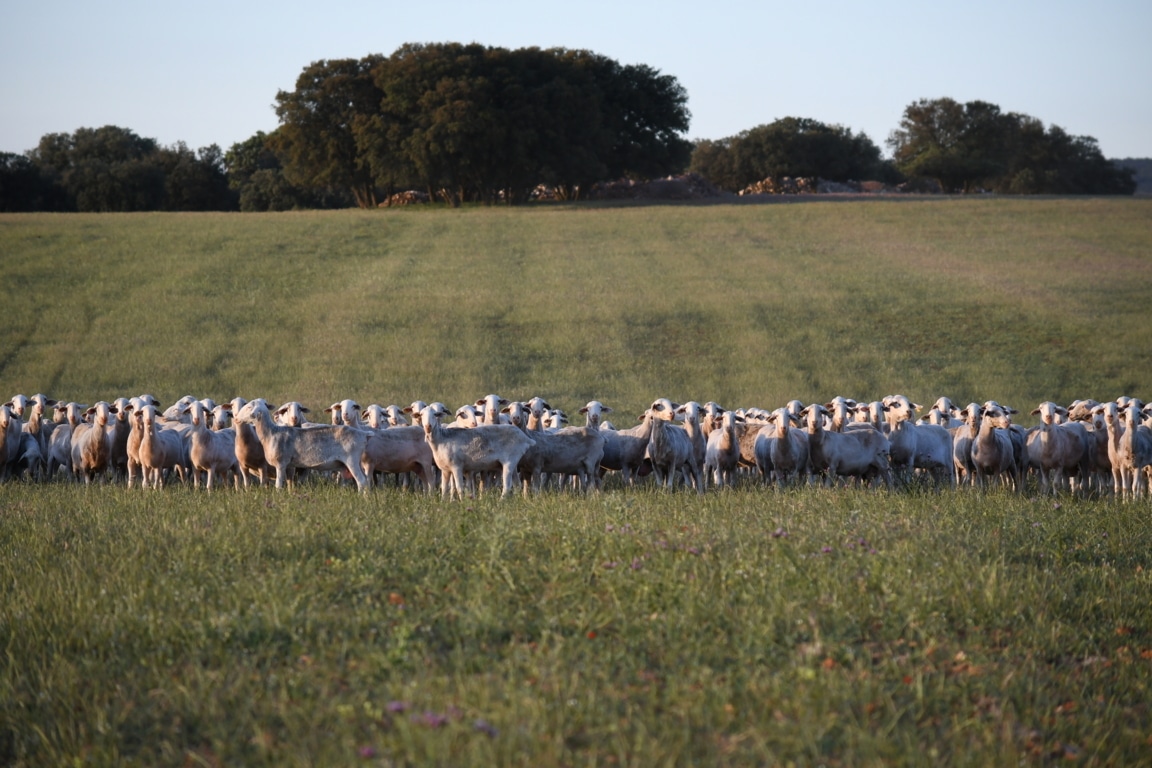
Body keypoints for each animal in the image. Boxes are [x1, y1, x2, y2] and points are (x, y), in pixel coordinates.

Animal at [236, 396, 370, 492]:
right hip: (357, 461)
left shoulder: (281, 463)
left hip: (351, 459)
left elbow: (279, 486)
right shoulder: (289, 466)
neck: (270, 433)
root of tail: (363, 434)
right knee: (366, 479)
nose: (236, 418)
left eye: (248, 407)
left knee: (362, 481)